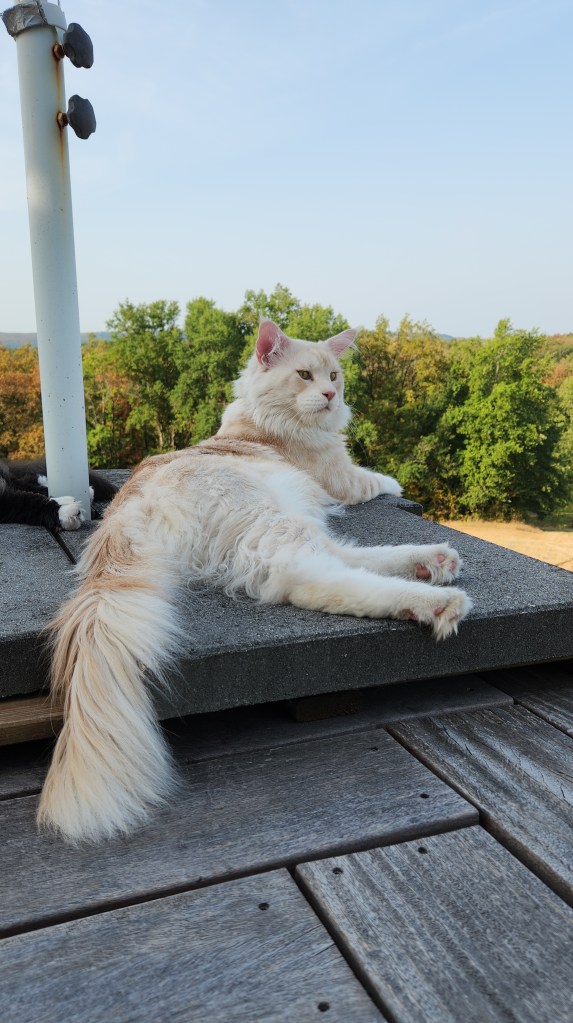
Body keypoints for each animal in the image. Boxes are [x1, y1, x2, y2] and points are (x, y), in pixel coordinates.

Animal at [37, 319, 472, 843]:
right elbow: (377, 480)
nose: (331, 395)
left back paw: (432, 562)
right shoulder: (342, 478)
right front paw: (396, 484)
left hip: (289, 519)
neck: (259, 420)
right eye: (305, 375)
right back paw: (436, 601)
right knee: (316, 578)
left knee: (346, 559)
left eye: (334, 375)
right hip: (276, 523)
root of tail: (120, 515)